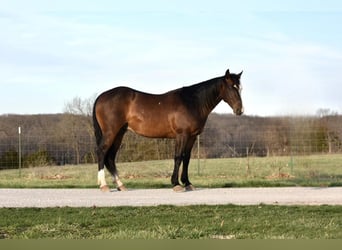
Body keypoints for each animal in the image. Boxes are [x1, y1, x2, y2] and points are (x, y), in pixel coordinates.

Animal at [93, 68, 243, 191]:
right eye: (231, 87)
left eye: (240, 88)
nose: (240, 110)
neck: (192, 102)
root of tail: (101, 96)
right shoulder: (182, 135)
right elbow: (178, 157)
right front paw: (176, 184)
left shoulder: (192, 136)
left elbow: (186, 158)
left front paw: (187, 183)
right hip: (111, 132)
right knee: (102, 152)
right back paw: (104, 185)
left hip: (119, 133)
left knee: (110, 157)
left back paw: (120, 185)